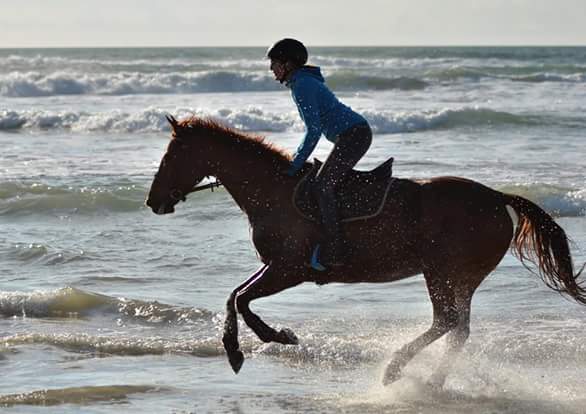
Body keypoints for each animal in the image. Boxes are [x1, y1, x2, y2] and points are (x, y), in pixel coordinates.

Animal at [144, 115, 580, 388]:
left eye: (170, 156)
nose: (153, 202)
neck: (272, 191)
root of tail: (497, 197)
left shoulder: (289, 269)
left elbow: (243, 299)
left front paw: (275, 337)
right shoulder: (276, 266)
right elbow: (234, 295)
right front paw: (241, 348)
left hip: (442, 272)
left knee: (446, 321)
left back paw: (394, 370)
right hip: (461, 277)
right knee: (458, 328)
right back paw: (433, 379)